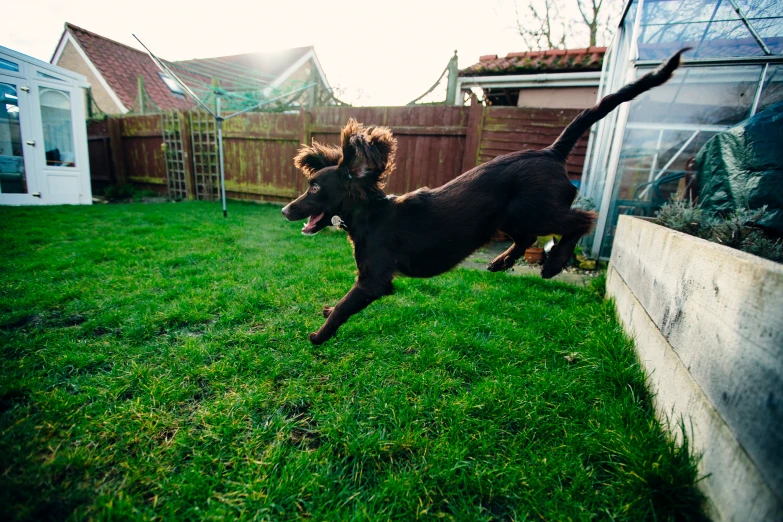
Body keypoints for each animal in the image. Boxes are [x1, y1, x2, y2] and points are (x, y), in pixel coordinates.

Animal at [282, 47, 688, 342]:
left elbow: (344, 306)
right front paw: (324, 317)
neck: (372, 217)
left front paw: (319, 334)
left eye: (315, 188)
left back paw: (554, 263)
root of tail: (551, 151)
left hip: (532, 209)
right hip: (508, 216)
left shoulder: (374, 280)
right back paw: (502, 262)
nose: (286, 210)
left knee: (579, 220)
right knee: (528, 238)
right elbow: (341, 302)